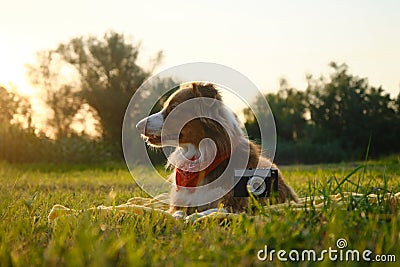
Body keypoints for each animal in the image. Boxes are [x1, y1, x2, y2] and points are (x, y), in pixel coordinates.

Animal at [138, 82, 296, 215]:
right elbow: (177, 212)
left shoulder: (236, 206)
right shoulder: (179, 203)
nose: (138, 126)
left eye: (174, 107)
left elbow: (208, 212)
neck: (201, 155)